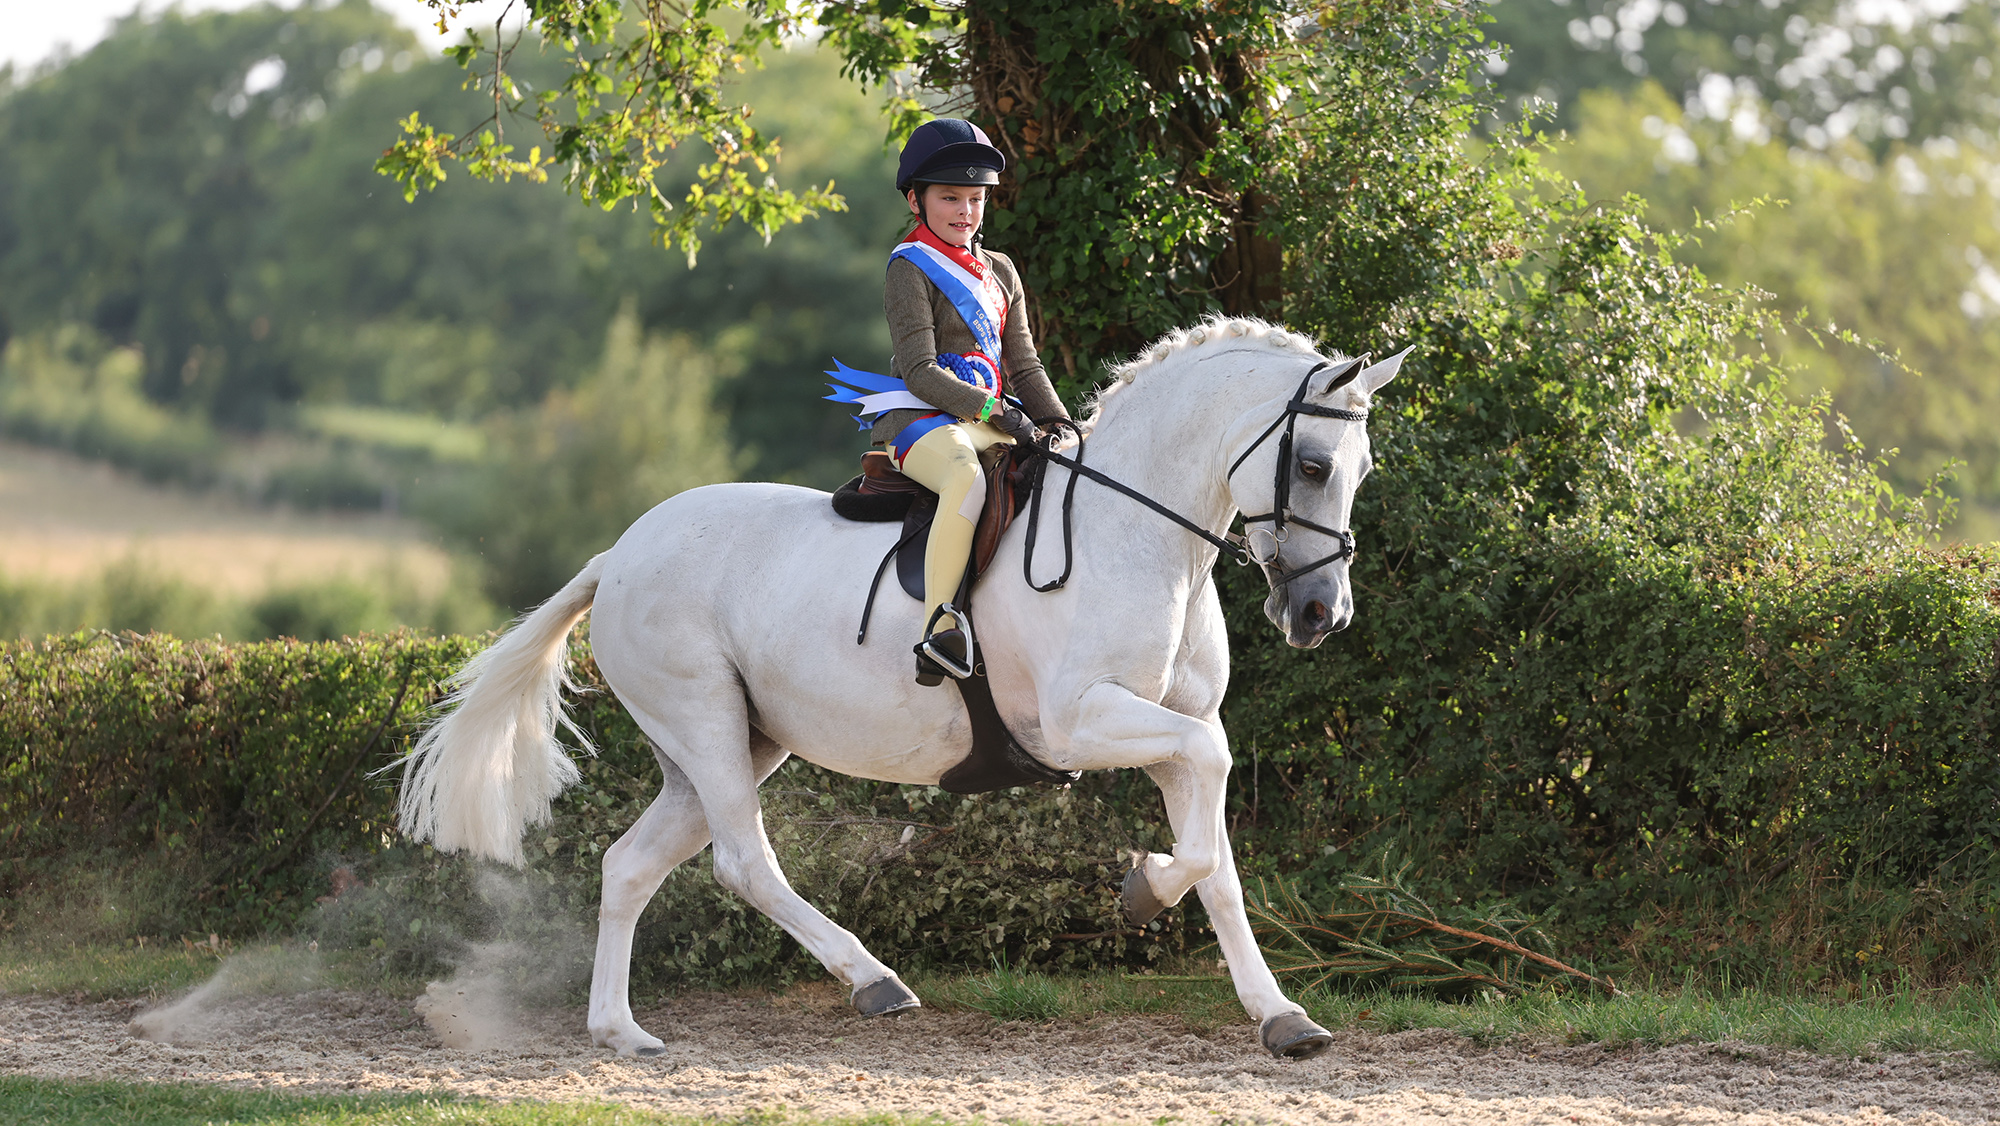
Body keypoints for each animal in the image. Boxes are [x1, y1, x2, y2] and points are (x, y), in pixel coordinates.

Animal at [395, 315, 1405, 1060]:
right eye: (1312, 465)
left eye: (1361, 471)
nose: (1320, 613)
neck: (1140, 536)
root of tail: (620, 552)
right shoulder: (1082, 723)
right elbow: (1205, 809)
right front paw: (1144, 890)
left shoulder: (1172, 728)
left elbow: (1219, 862)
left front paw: (1280, 1015)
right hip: (707, 722)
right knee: (743, 862)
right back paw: (874, 981)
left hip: (732, 744)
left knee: (630, 866)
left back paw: (619, 1031)